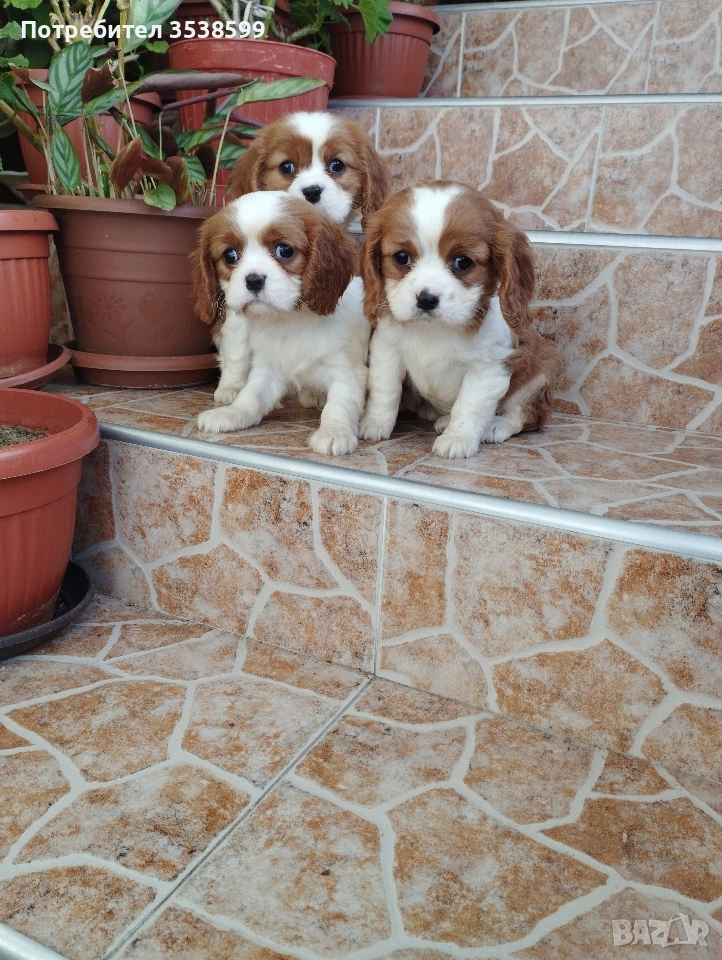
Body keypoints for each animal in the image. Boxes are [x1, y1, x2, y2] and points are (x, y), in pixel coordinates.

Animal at [192, 191, 369, 455]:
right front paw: (232, 413)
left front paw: (333, 431)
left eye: (284, 250)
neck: (290, 319)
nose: (254, 280)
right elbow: (251, 396)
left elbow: (340, 403)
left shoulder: (347, 371)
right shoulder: (268, 368)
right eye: (230, 255)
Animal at [359, 181, 557, 459]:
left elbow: (470, 405)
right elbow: (384, 389)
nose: (426, 299)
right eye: (401, 258)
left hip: (540, 372)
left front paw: (458, 438)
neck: (434, 330)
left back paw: (494, 426)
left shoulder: (489, 366)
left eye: (463, 262)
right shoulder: (387, 348)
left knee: (525, 415)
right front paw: (375, 423)